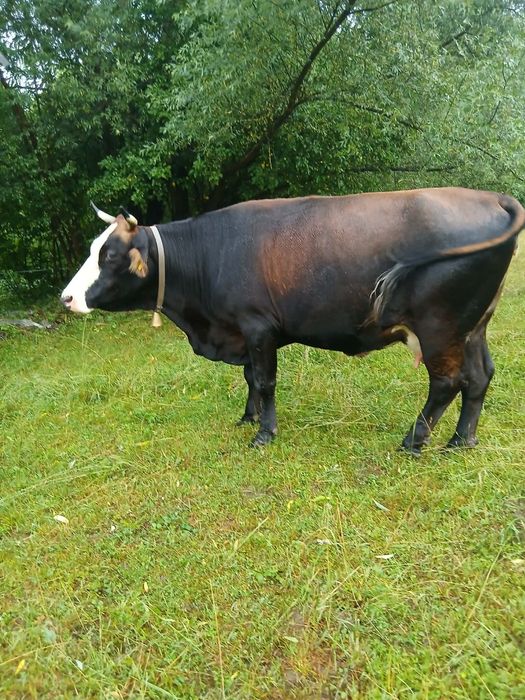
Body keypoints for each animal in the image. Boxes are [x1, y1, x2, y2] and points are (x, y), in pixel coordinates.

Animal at [61, 188, 524, 455]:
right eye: (94, 248)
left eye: (110, 255)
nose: (66, 297)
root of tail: (490, 197)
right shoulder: (243, 332)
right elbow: (250, 377)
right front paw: (247, 417)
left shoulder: (257, 326)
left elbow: (265, 380)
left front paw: (263, 434)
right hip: (473, 325)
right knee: (480, 376)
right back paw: (461, 441)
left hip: (438, 326)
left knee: (447, 382)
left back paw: (415, 441)